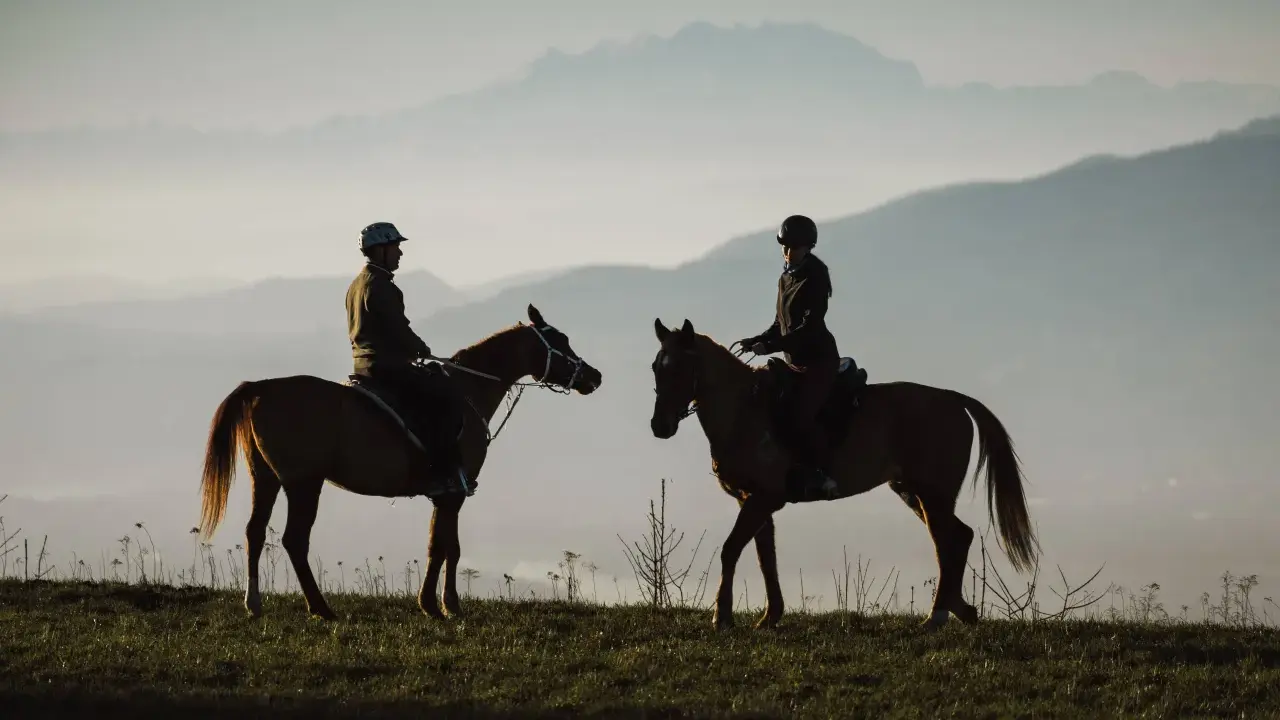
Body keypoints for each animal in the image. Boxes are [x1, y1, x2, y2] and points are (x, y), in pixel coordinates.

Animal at [197, 304, 602, 620]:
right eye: (560, 341)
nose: (593, 376)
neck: (467, 391)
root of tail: (259, 389)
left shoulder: (444, 494)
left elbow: (438, 545)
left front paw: (433, 603)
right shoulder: (454, 491)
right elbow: (448, 547)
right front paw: (444, 605)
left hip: (264, 478)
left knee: (254, 532)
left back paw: (254, 603)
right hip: (303, 483)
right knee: (294, 540)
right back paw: (321, 608)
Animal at [648, 317, 1039, 631]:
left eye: (680, 368)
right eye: (655, 367)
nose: (659, 427)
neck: (745, 410)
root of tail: (952, 399)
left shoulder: (763, 498)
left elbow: (731, 550)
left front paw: (723, 617)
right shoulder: (754, 501)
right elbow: (765, 557)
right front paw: (770, 616)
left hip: (933, 493)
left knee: (947, 540)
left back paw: (937, 616)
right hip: (913, 491)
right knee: (957, 537)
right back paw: (959, 610)